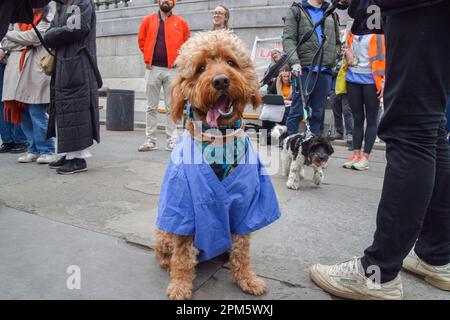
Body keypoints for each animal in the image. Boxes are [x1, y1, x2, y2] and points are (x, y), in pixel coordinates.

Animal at [155, 30, 282, 300]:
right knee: (167, 253)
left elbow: (242, 250)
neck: (219, 140)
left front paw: (246, 278)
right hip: (163, 233)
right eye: (201, 68)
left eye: (231, 62)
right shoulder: (184, 208)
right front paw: (180, 285)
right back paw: (168, 263)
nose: (221, 81)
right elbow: (183, 256)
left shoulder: (248, 204)